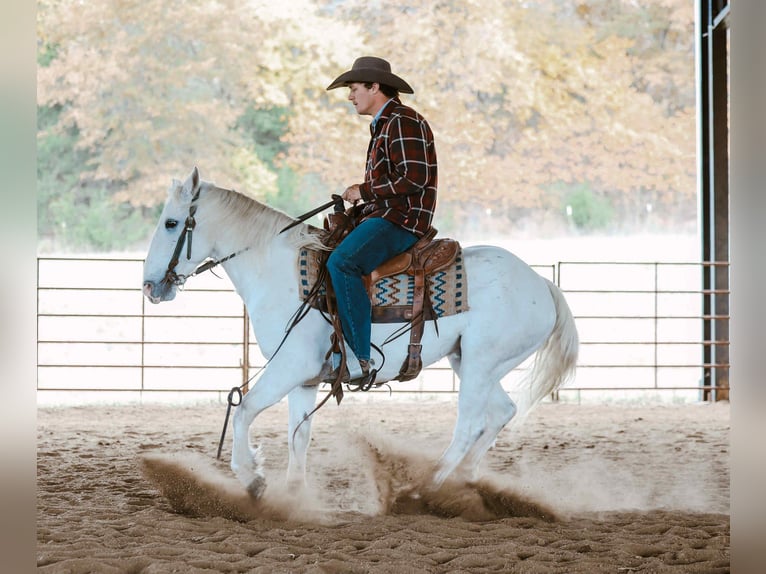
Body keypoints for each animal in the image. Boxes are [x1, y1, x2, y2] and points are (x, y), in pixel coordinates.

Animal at [142, 167, 579, 497]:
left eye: (171, 223)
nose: (150, 286)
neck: (278, 271)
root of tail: (542, 283)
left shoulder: (288, 367)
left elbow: (245, 409)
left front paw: (252, 479)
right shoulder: (306, 379)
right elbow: (298, 435)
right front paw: (294, 497)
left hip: (481, 364)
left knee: (470, 423)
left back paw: (424, 490)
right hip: (472, 362)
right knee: (502, 412)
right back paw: (466, 479)